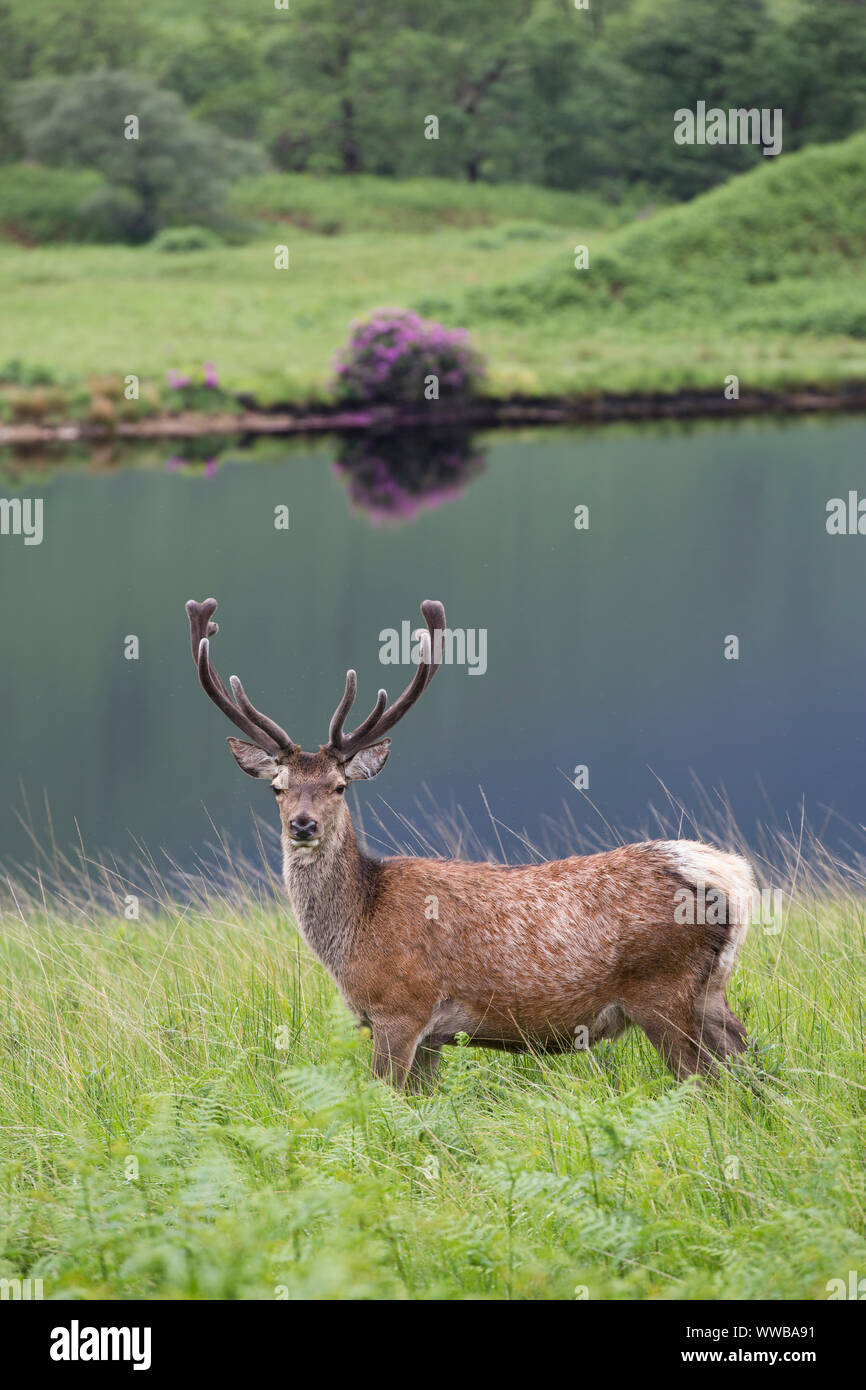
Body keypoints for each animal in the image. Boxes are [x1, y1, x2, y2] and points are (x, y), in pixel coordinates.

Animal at [185, 596, 755, 1091]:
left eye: (339, 786)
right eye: (277, 787)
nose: (302, 825)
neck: (356, 929)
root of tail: (731, 877)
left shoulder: (400, 1008)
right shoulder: (433, 1037)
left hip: (663, 991)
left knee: (705, 1086)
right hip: (711, 992)